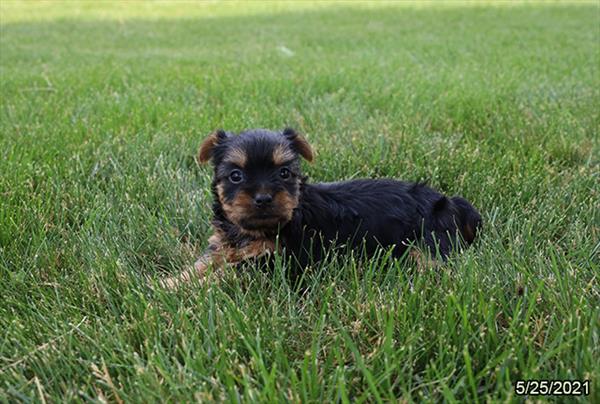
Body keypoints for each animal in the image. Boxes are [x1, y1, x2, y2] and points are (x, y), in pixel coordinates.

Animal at [162, 128, 480, 288]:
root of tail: (449, 202)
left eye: (284, 173)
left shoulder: (276, 261)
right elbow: (200, 265)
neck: (250, 230)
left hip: (426, 245)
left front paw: (182, 290)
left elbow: (226, 273)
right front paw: (167, 284)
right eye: (236, 176)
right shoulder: (221, 245)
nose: (263, 198)